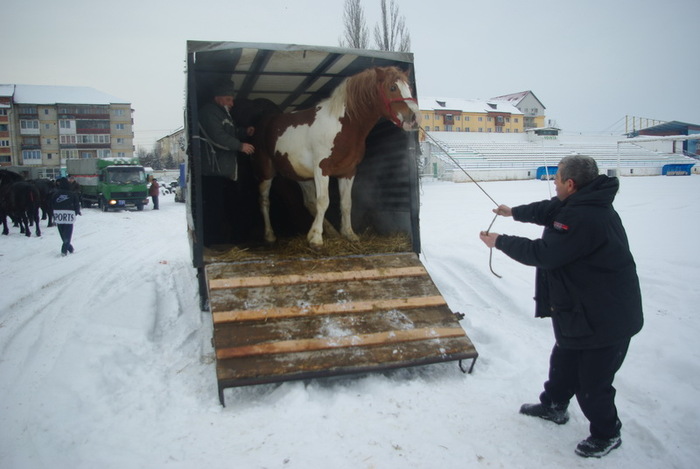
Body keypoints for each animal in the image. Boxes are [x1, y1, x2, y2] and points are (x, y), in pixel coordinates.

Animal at [252, 67, 418, 249]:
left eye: (409, 87)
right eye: (392, 87)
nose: (414, 118)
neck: (343, 125)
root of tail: (265, 122)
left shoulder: (348, 172)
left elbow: (346, 203)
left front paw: (349, 234)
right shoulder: (322, 169)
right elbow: (323, 201)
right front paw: (316, 239)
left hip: (301, 175)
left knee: (309, 202)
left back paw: (328, 231)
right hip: (266, 171)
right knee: (264, 201)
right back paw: (270, 235)